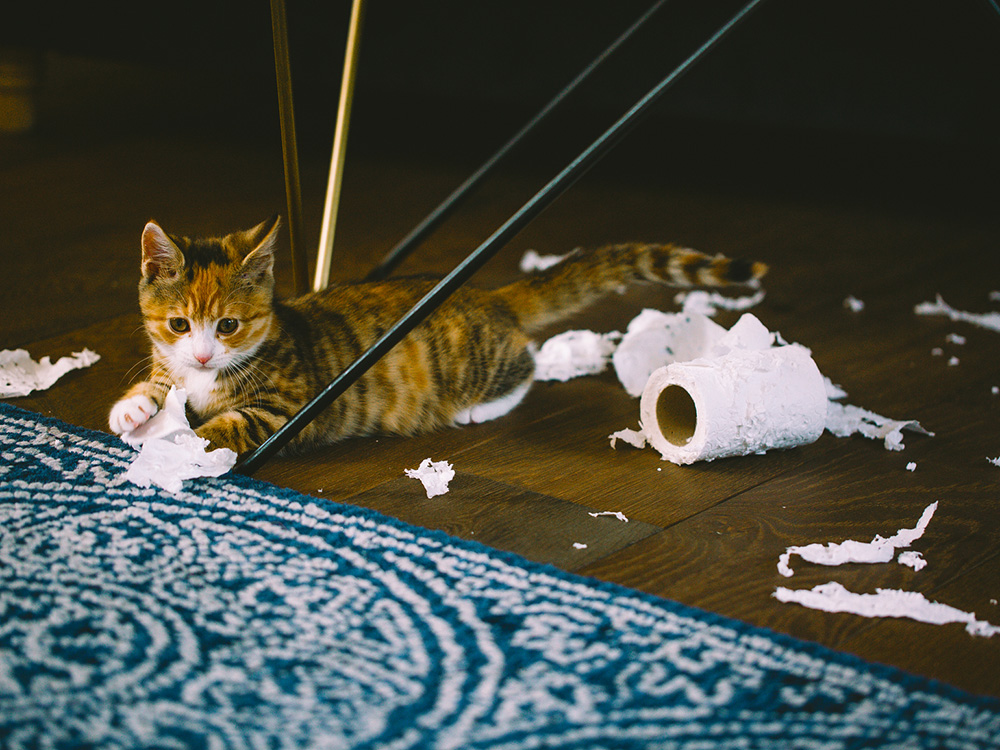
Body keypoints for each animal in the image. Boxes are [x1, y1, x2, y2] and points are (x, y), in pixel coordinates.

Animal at [107, 214, 764, 456]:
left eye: (229, 325)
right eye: (178, 325)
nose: (202, 353)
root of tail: (487, 294)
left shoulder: (283, 408)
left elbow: (226, 424)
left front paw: (177, 444)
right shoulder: (171, 365)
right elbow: (157, 387)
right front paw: (132, 410)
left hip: (476, 360)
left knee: (526, 365)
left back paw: (478, 408)